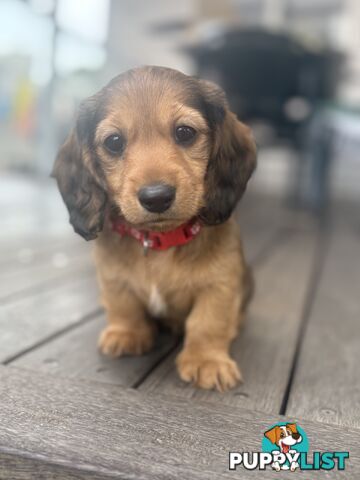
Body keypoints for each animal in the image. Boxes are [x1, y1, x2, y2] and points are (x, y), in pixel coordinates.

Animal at [52, 65, 256, 392]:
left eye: (185, 132)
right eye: (114, 142)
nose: (156, 197)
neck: (159, 242)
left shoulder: (221, 283)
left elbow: (208, 320)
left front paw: (207, 360)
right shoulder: (112, 277)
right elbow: (123, 304)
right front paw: (127, 333)